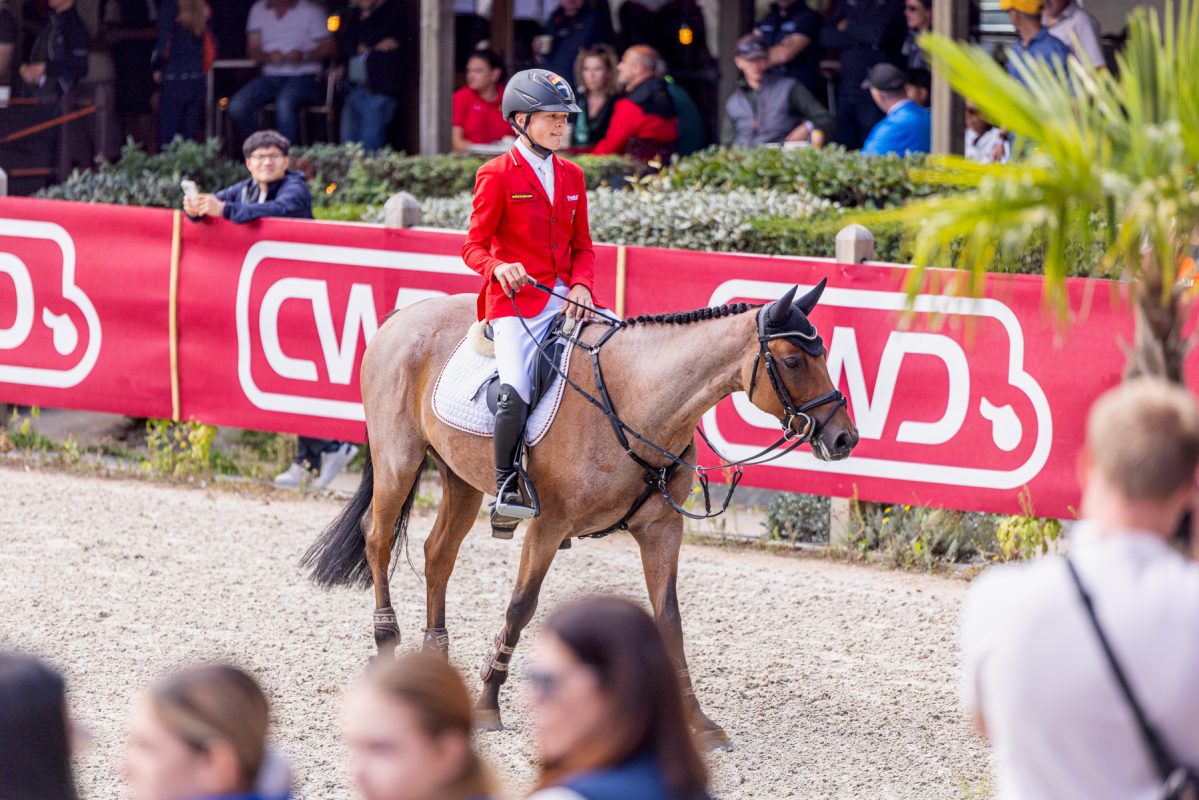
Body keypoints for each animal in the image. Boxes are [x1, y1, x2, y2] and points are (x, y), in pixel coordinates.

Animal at [302, 281, 858, 747]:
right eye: (792, 361)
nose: (844, 438)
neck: (638, 400)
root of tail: (404, 314)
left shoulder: (662, 530)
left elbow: (670, 620)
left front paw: (697, 721)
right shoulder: (548, 527)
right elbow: (520, 608)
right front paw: (488, 702)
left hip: (458, 479)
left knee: (438, 555)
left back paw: (435, 660)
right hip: (398, 459)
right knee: (377, 538)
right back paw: (387, 644)